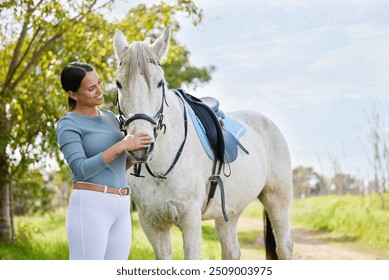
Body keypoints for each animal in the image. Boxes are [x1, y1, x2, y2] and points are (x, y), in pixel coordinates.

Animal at [113, 26, 292, 260]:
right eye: (118, 84)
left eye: (160, 83)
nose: (140, 147)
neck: (162, 166)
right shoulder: (152, 224)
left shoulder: (190, 220)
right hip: (230, 212)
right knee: (231, 251)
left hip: (277, 201)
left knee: (284, 247)